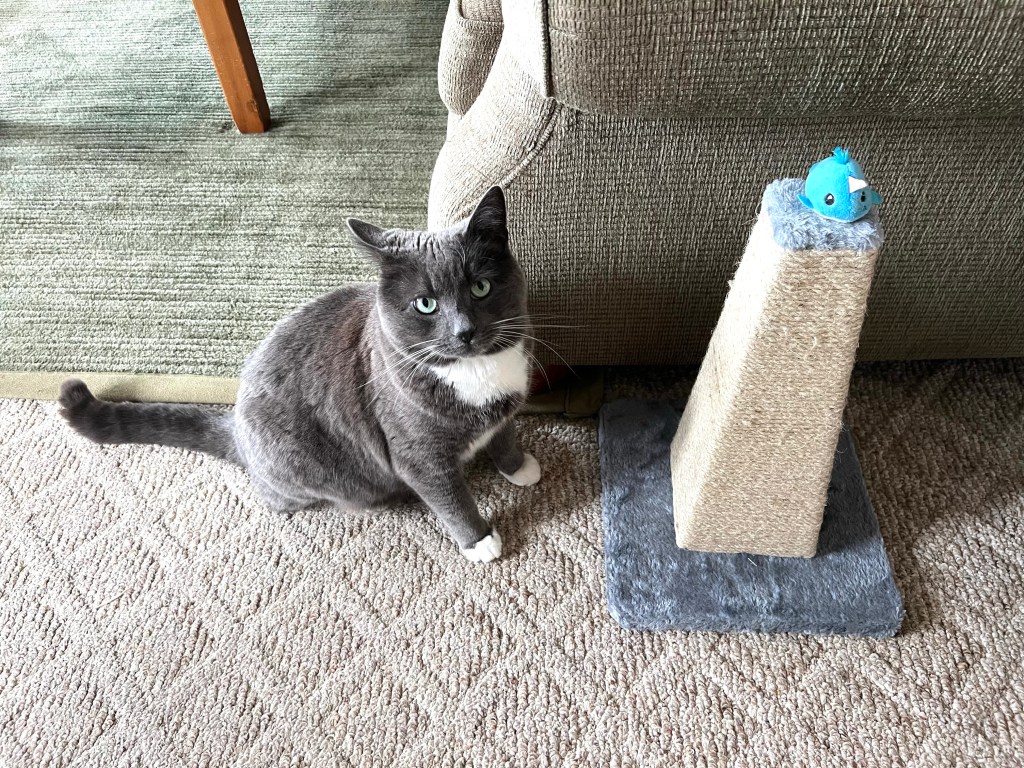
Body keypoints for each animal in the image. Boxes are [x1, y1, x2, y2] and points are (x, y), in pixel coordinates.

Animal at [58, 186, 539, 563]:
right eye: (426, 304)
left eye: (481, 287)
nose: (464, 331)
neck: (476, 374)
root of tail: (236, 425)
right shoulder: (416, 455)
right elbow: (451, 499)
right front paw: (480, 541)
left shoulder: (505, 407)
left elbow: (504, 434)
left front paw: (520, 468)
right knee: (279, 496)